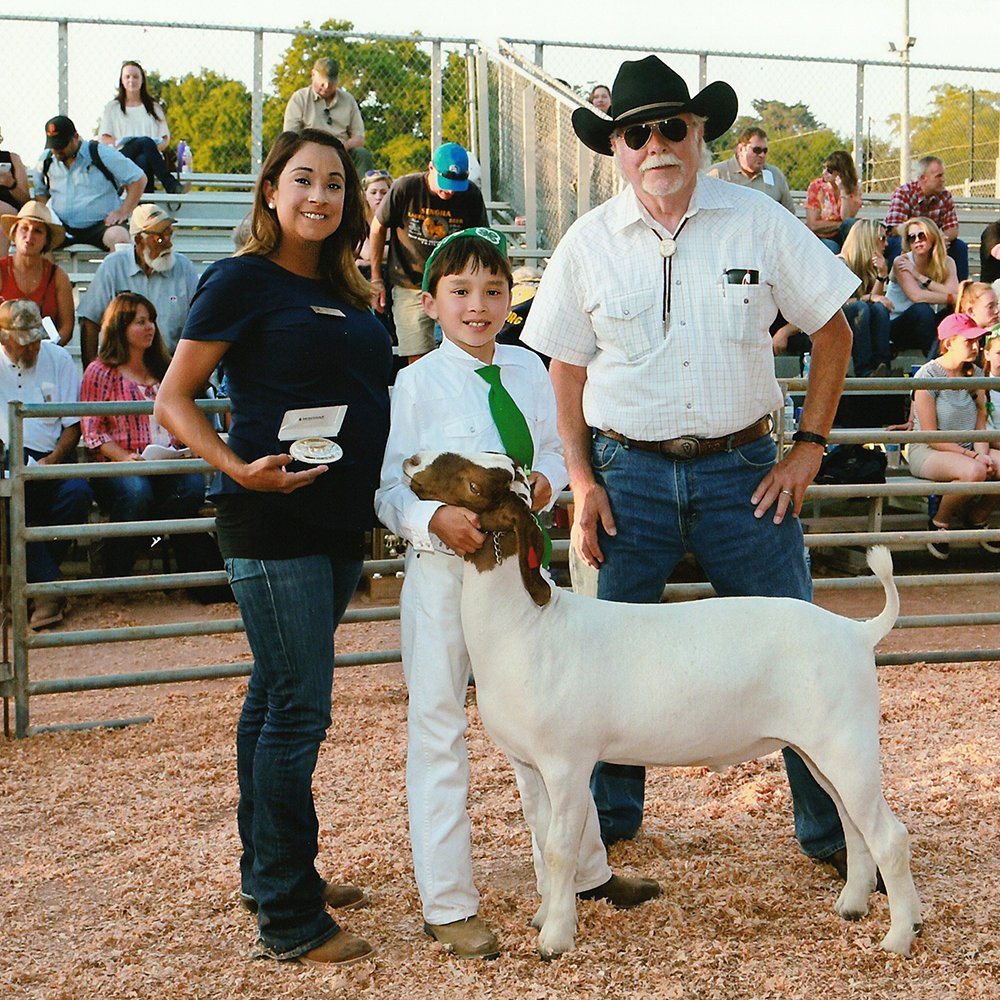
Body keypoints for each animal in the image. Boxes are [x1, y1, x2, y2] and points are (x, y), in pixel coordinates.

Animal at [404, 450, 920, 956]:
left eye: (475, 485)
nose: (409, 463)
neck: (529, 625)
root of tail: (857, 632)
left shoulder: (567, 763)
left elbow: (558, 850)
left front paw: (555, 937)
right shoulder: (527, 763)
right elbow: (542, 839)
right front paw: (544, 917)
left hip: (846, 744)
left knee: (889, 836)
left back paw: (898, 937)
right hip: (821, 751)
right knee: (854, 826)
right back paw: (856, 906)